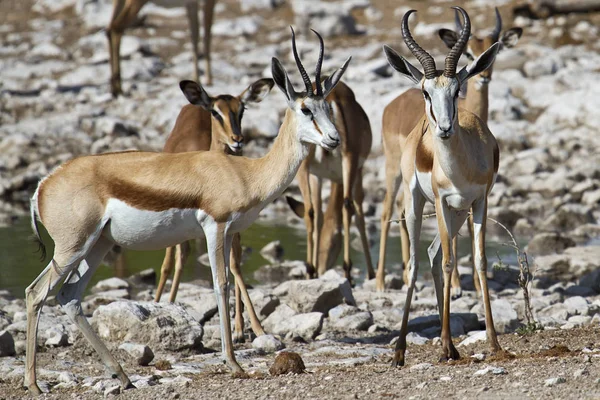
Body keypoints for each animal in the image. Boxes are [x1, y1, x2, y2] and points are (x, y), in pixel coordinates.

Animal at [155, 77, 276, 344]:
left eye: (242, 109)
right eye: (215, 111)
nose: (237, 139)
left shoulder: (231, 225)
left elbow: (234, 265)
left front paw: (252, 328)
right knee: (174, 259)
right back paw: (162, 303)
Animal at [284, 76, 370, 282]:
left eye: (329, 244)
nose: (323, 267)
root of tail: (334, 97)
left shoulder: (317, 175)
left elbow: (318, 215)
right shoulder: (356, 172)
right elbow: (359, 216)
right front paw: (372, 274)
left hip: (306, 166)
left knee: (312, 211)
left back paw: (310, 270)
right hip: (349, 160)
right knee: (347, 206)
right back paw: (345, 272)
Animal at [382, 7, 504, 368]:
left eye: (456, 89)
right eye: (426, 92)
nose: (446, 129)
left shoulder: (479, 202)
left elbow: (479, 261)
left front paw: (494, 342)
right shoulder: (439, 200)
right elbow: (451, 262)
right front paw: (444, 344)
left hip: (457, 212)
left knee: (434, 253)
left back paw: (450, 346)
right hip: (417, 204)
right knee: (416, 264)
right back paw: (401, 351)